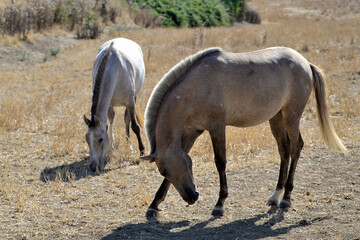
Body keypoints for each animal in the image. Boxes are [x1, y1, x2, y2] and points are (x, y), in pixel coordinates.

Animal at [83, 38, 146, 171]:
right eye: (86, 139)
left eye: (100, 139)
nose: (93, 166)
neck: (112, 69)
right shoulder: (109, 104)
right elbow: (108, 123)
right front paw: (109, 150)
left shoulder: (130, 102)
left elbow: (135, 126)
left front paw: (142, 151)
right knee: (112, 119)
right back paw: (112, 146)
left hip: (134, 97)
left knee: (127, 120)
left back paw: (129, 145)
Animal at [141, 46, 348, 218]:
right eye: (164, 171)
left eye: (186, 165)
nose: (192, 197)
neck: (196, 87)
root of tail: (305, 62)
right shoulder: (191, 132)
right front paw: (154, 205)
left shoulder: (217, 127)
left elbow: (221, 162)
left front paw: (219, 204)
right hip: (276, 118)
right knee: (284, 150)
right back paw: (276, 195)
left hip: (292, 116)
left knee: (296, 148)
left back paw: (286, 198)